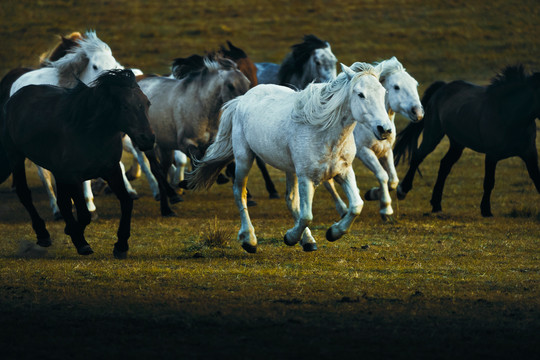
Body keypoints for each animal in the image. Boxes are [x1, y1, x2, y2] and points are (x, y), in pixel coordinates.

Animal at [1, 69, 154, 258]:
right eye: (125, 106)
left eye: (147, 103)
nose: (148, 139)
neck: (89, 131)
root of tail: (14, 98)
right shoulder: (73, 177)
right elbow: (84, 214)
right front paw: (80, 241)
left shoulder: (111, 170)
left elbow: (126, 202)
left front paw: (121, 246)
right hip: (15, 156)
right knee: (24, 193)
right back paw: (43, 234)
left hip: (57, 171)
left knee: (62, 203)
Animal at [8, 31, 129, 219]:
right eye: (95, 66)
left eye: (115, 64)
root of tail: (16, 84)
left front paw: (90, 206)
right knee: (44, 176)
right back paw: (56, 209)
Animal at [184, 62, 390, 253]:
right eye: (360, 94)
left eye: (383, 92)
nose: (385, 129)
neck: (324, 133)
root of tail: (243, 98)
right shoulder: (307, 177)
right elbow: (307, 215)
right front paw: (290, 237)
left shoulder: (344, 172)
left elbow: (356, 206)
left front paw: (333, 233)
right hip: (244, 159)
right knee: (239, 193)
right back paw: (249, 240)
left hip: (290, 169)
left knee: (291, 199)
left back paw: (308, 241)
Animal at [392, 64, 540, 217]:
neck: (509, 114)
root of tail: (442, 87)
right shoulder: (492, 155)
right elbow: (489, 182)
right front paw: (486, 210)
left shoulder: (530, 153)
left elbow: (536, 178)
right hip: (433, 134)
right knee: (418, 157)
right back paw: (403, 190)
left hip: (457, 144)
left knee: (444, 165)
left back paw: (436, 204)